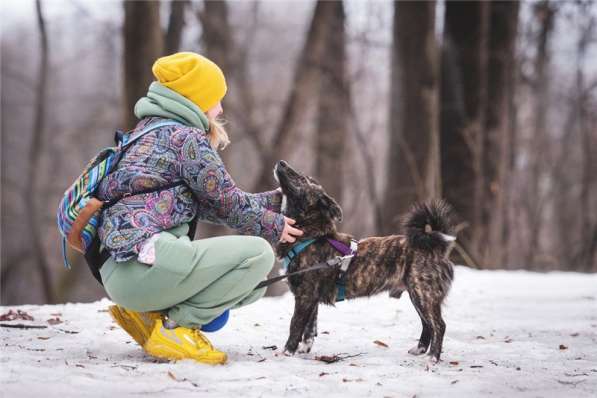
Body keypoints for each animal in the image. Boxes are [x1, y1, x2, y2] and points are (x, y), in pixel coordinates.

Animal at [272, 159, 454, 364]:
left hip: (424, 293)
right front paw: (304, 348)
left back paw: (433, 357)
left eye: (302, 179)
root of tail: (435, 246)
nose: (281, 162)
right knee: (427, 323)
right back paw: (420, 349)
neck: (310, 234)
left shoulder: (305, 296)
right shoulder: (311, 298)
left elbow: (295, 325)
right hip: (417, 294)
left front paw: (287, 352)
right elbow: (310, 328)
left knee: (439, 325)